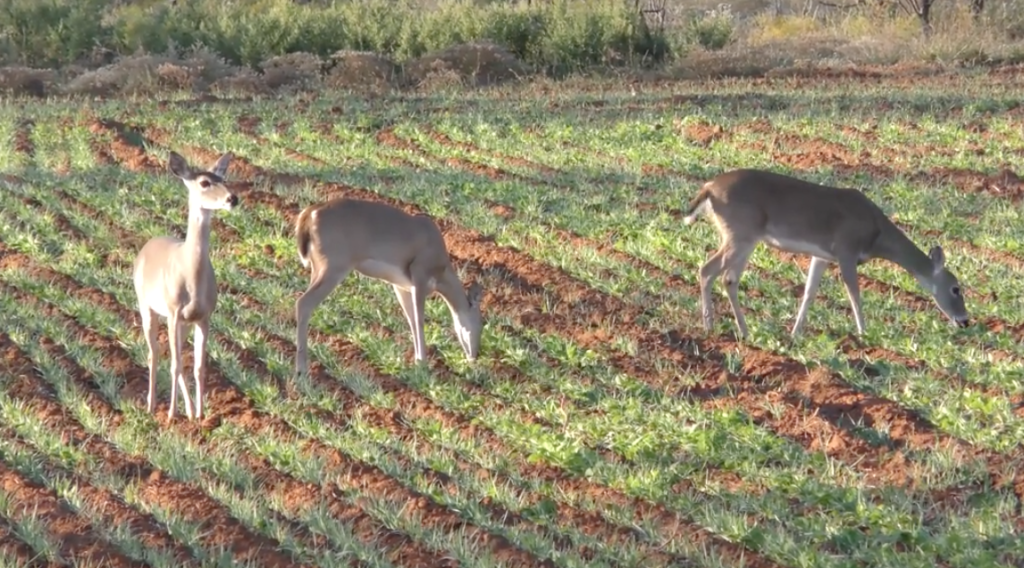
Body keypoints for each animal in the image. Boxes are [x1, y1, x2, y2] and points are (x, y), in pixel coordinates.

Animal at [130, 151, 235, 421]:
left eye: (223, 178)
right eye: (204, 182)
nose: (233, 198)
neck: (192, 278)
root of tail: (148, 244)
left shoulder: (204, 316)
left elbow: (198, 367)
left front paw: (200, 415)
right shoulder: (174, 310)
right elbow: (176, 363)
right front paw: (170, 415)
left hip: (183, 323)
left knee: (170, 354)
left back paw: (187, 410)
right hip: (146, 305)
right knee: (154, 353)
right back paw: (151, 406)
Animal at [294, 197, 485, 376]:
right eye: (481, 323)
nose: (475, 356)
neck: (442, 271)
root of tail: (310, 213)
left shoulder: (401, 286)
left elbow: (411, 320)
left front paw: (417, 361)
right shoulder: (419, 273)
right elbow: (419, 320)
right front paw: (423, 364)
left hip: (317, 266)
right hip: (335, 264)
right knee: (304, 303)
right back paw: (301, 368)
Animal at [684, 167, 970, 337]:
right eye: (956, 288)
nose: (965, 320)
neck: (876, 234)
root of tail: (709, 188)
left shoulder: (822, 255)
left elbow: (809, 292)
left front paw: (795, 332)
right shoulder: (846, 249)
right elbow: (854, 292)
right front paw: (863, 333)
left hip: (743, 237)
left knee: (728, 279)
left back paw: (744, 331)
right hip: (740, 232)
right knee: (708, 269)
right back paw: (709, 326)